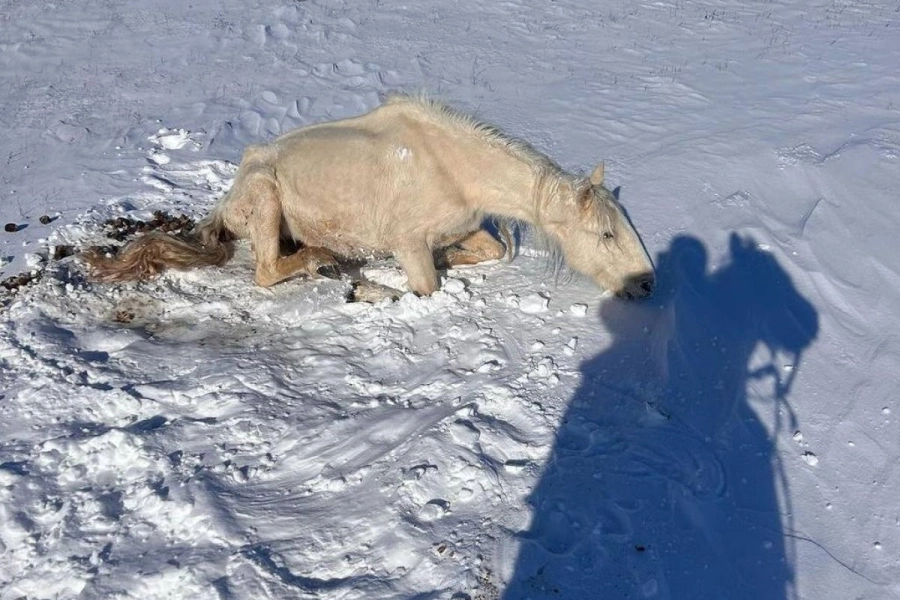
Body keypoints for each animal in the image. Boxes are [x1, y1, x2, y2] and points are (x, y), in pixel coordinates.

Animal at [86, 93, 652, 298]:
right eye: (606, 234)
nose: (648, 284)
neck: (453, 165)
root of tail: (229, 198)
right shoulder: (408, 244)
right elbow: (426, 288)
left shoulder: (467, 224)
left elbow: (495, 249)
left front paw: (454, 255)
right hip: (266, 200)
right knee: (267, 271)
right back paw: (321, 259)